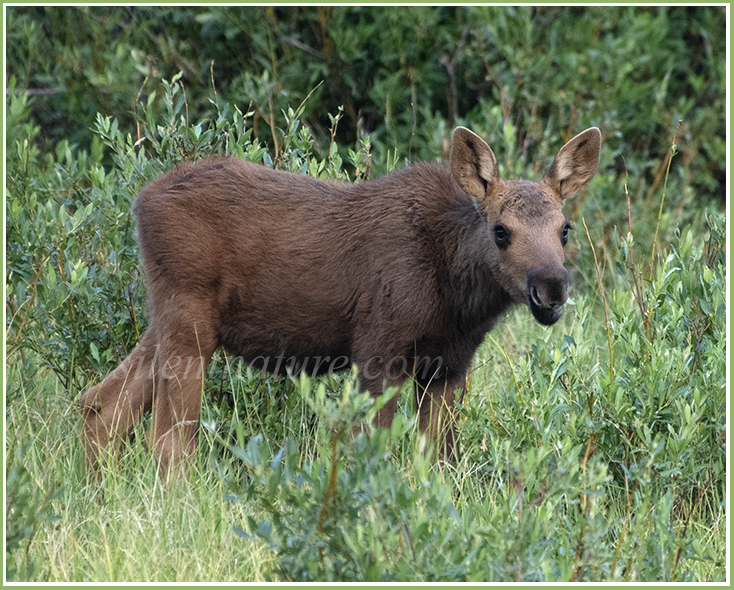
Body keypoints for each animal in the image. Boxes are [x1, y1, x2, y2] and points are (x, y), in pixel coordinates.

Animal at [78, 125, 602, 477]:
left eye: (564, 229)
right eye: (500, 231)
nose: (551, 287)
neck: (458, 299)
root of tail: (140, 201)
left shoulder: (449, 367)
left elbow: (439, 463)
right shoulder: (378, 352)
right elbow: (368, 452)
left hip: (167, 318)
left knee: (102, 404)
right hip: (189, 320)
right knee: (167, 439)